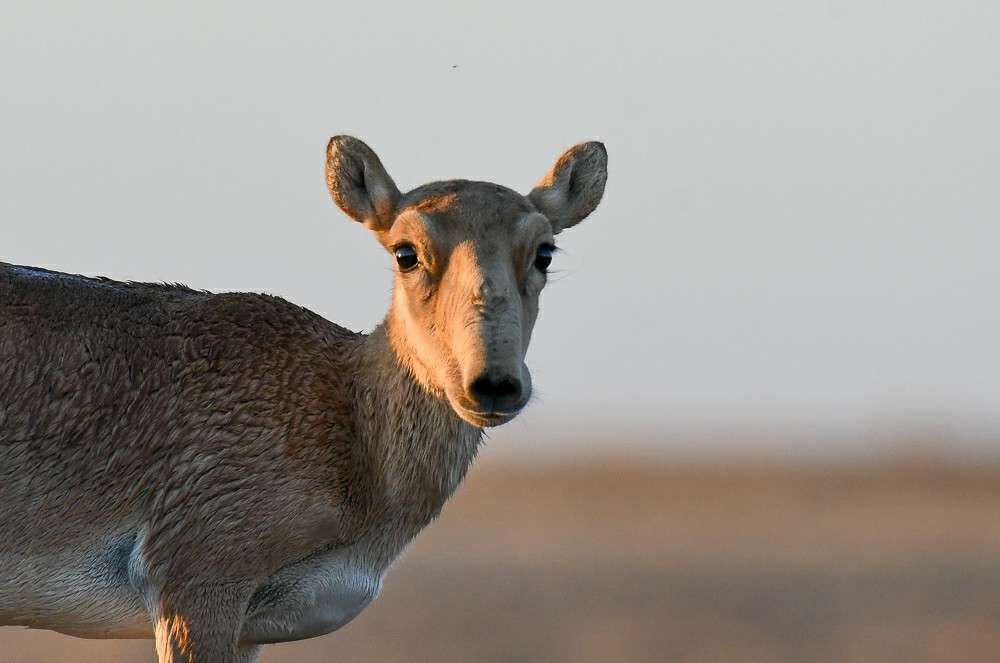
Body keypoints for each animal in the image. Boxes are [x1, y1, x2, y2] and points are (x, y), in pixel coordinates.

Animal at [0, 136, 604, 663]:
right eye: (405, 252)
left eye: (545, 252)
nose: (493, 383)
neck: (351, 419)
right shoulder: (198, 580)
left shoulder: (247, 632)